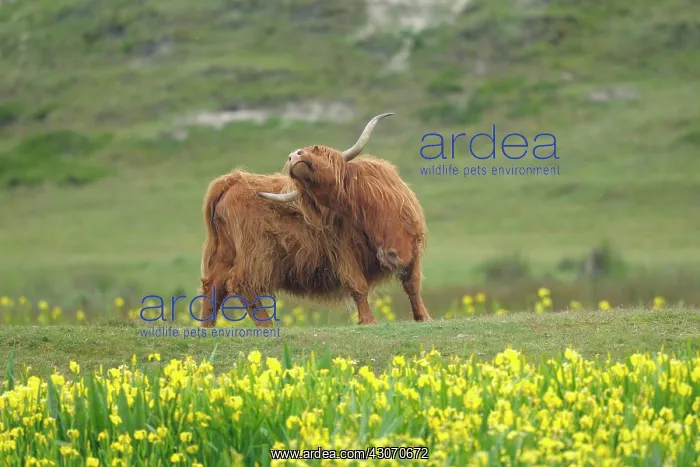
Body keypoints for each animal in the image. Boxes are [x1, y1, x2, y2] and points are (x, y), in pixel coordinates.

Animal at [199, 113, 431, 327]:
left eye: (318, 149)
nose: (294, 155)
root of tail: (232, 180)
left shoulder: (411, 245)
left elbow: (412, 283)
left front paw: (424, 318)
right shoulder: (344, 252)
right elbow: (358, 285)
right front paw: (368, 321)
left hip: (226, 251)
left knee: (213, 286)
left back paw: (207, 329)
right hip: (256, 252)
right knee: (241, 284)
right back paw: (267, 325)